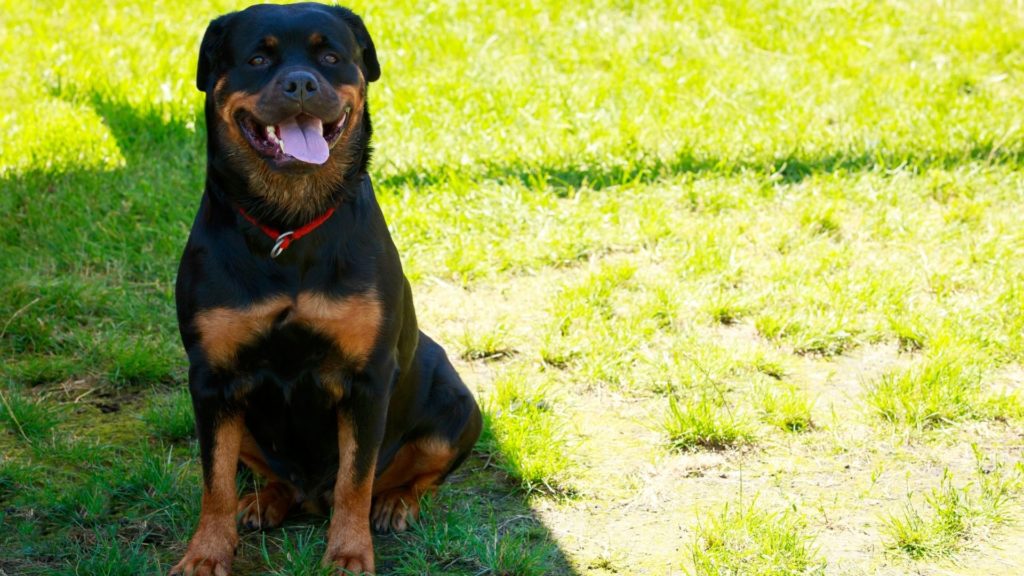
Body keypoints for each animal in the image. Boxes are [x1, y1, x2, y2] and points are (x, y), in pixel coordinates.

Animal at [169, 3, 481, 569]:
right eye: (258, 58)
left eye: (331, 56)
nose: (300, 82)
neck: (289, 223)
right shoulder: (211, 380)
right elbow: (215, 480)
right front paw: (206, 555)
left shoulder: (368, 379)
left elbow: (355, 481)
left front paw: (350, 555)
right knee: (270, 477)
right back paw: (265, 501)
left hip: (457, 407)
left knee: (415, 474)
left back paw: (395, 504)